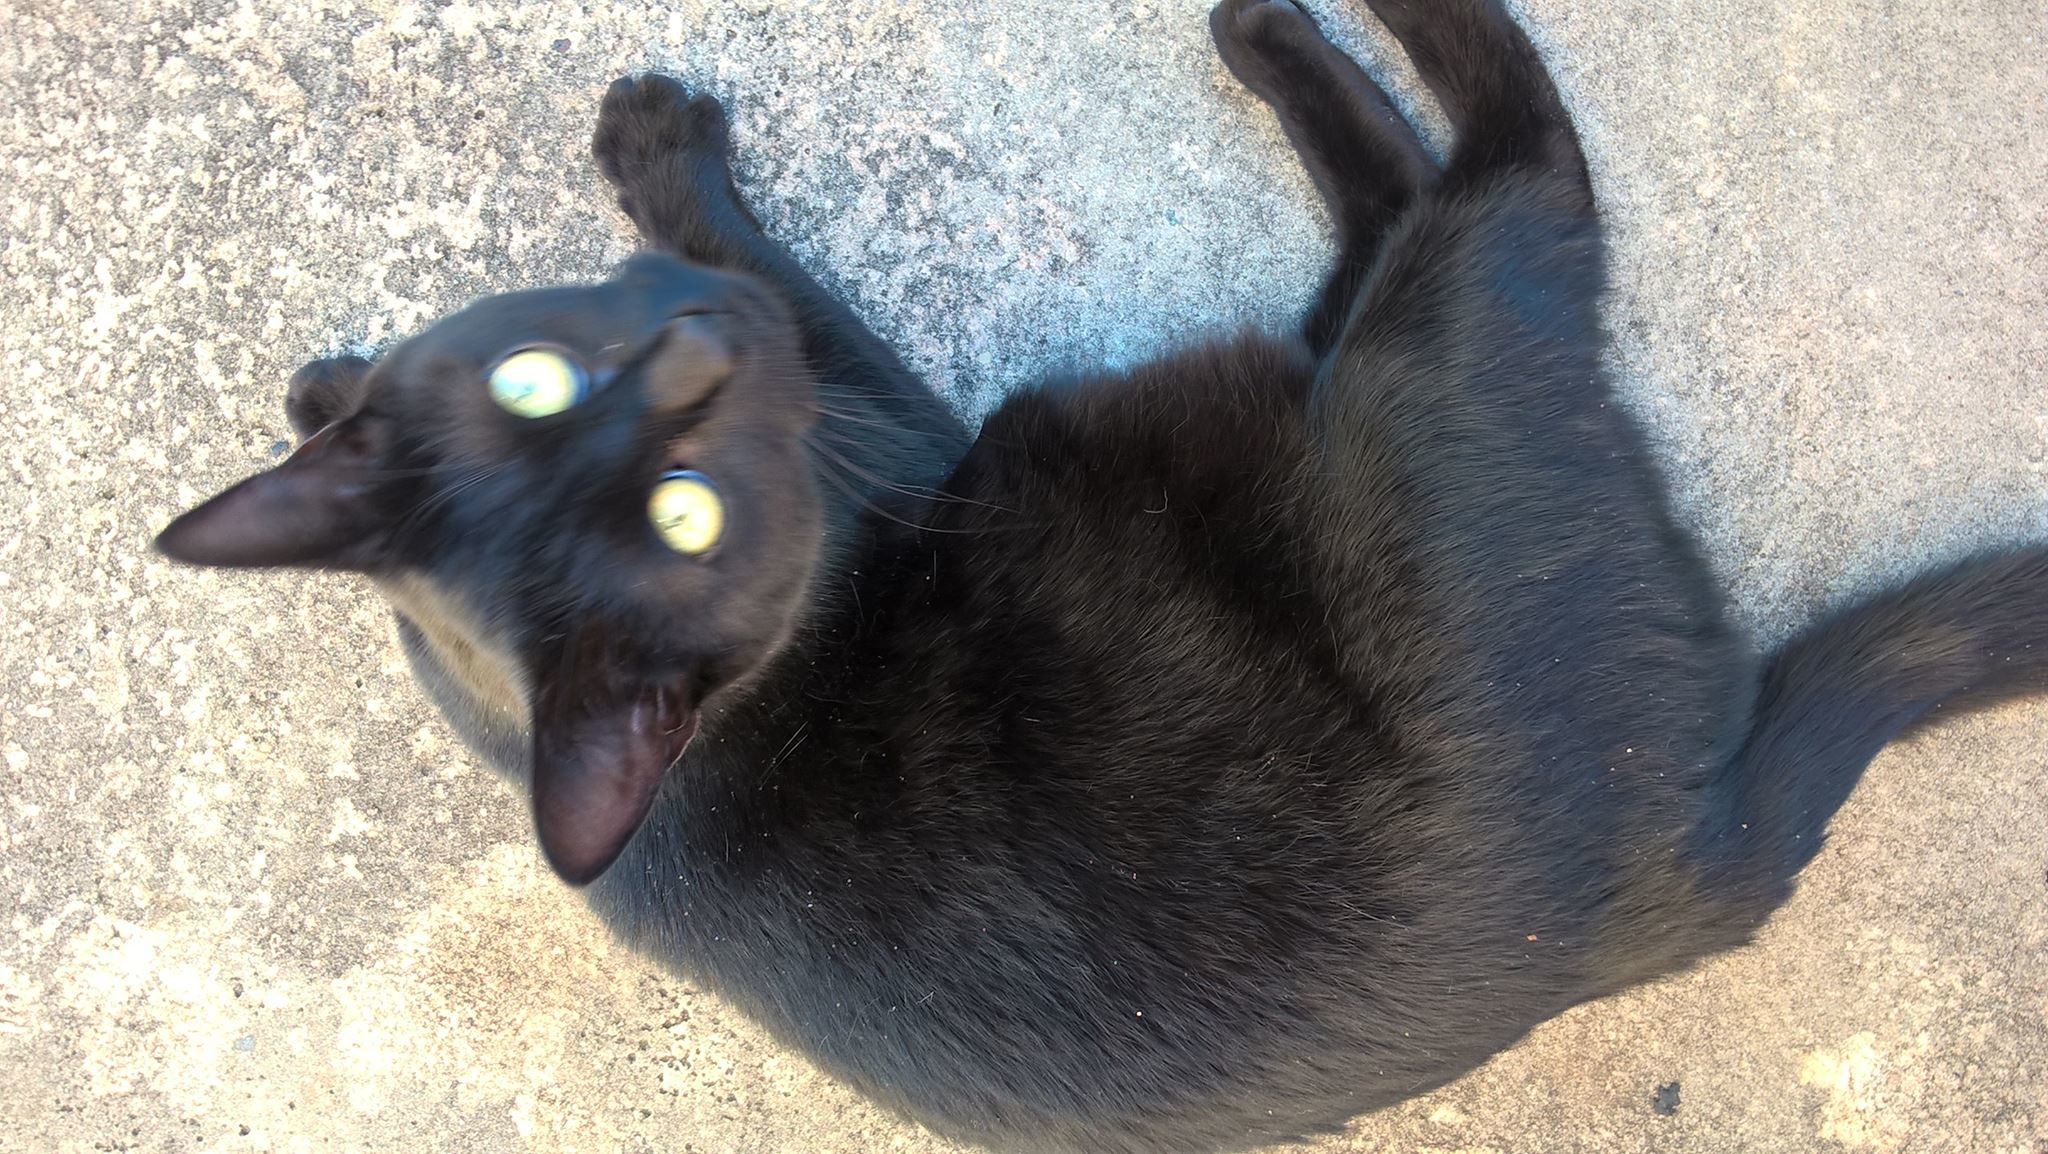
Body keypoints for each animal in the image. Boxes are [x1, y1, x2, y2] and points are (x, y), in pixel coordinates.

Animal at [153, 1, 2048, 1151]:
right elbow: (794, 280)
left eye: (534, 378)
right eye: (691, 512)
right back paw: (1289, 34)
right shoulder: (884, 418)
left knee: (1421, 216)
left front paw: (329, 387)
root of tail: (1678, 871)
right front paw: (663, 159)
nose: (695, 347)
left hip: (1345, 374)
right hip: (1401, 393)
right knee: (1517, 179)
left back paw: (1273, 45)